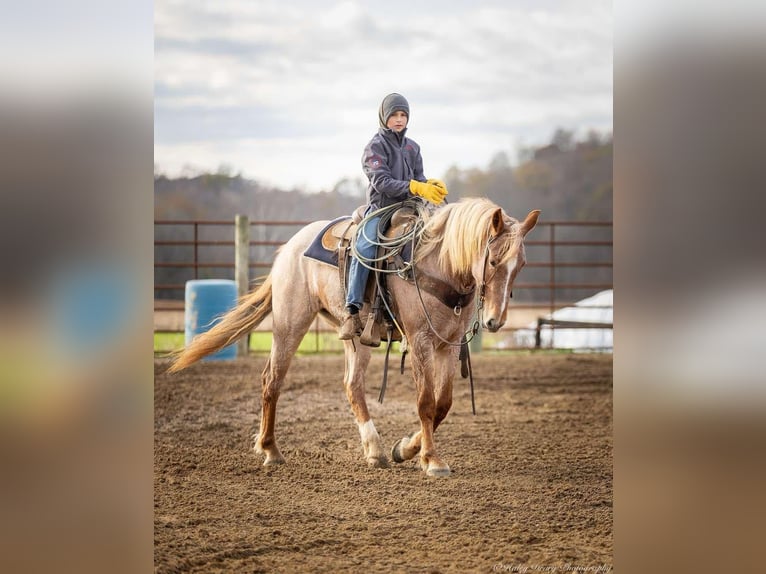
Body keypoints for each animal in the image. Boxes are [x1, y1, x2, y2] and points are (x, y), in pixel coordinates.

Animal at [170, 198, 540, 476]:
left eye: (521, 265)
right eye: (493, 260)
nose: (495, 321)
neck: (438, 264)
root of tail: (288, 249)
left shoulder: (448, 344)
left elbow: (443, 404)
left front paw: (406, 448)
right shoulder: (419, 341)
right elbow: (425, 402)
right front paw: (431, 460)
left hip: (357, 336)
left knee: (351, 384)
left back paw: (374, 449)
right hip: (290, 324)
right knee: (272, 379)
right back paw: (271, 450)